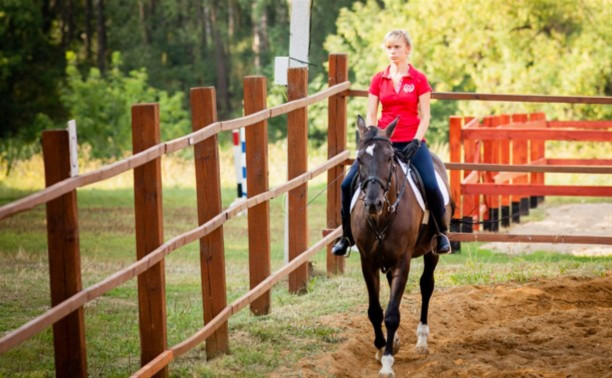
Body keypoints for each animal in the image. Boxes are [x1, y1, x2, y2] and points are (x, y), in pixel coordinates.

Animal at [352, 116, 452, 376]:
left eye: (389, 158)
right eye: (360, 159)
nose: (373, 203)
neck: (383, 217)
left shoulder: (402, 262)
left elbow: (391, 314)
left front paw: (387, 362)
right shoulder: (368, 262)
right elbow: (375, 310)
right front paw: (382, 348)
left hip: (431, 251)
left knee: (427, 286)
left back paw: (422, 340)